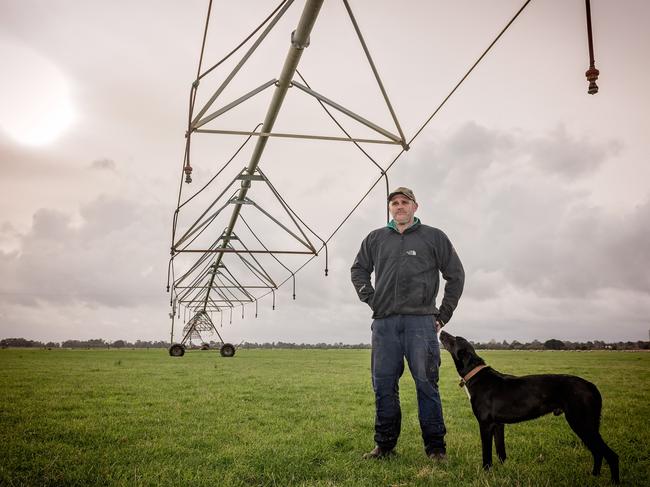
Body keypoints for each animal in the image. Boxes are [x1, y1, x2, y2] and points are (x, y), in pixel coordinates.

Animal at [438, 332, 616, 484]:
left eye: (455, 339)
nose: (442, 331)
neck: (476, 374)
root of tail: (591, 386)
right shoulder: (498, 425)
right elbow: (501, 452)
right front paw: (503, 472)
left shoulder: (485, 425)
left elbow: (487, 455)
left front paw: (486, 473)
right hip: (587, 424)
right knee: (598, 452)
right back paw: (594, 476)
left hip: (581, 423)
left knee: (610, 454)